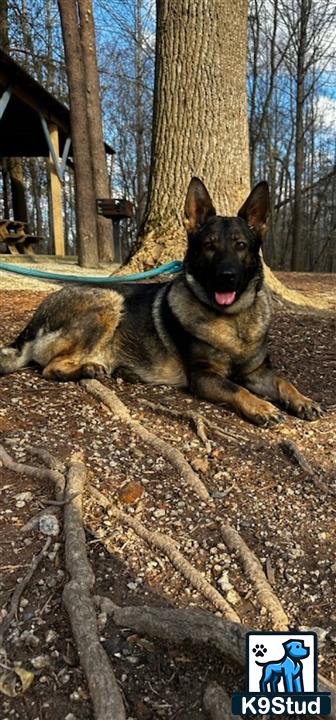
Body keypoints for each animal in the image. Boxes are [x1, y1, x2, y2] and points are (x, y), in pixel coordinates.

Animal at [0, 179, 322, 424]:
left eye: (241, 246)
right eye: (209, 246)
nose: (226, 278)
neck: (234, 319)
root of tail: (32, 324)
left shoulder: (257, 372)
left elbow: (282, 381)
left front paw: (302, 400)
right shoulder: (205, 376)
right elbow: (236, 389)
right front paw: (262, 407)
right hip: (109, 299)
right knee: (49, 368)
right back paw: (85, 370)